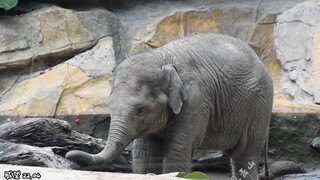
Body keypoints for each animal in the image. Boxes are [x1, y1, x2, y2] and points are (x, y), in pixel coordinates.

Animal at [65, 33, 272, 179]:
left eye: (140, 111)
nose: (69, 155)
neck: (160, 57)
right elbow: (145, 153)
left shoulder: (196, 101)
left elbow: (177, 149)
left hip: (259, 109)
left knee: (244, 156)